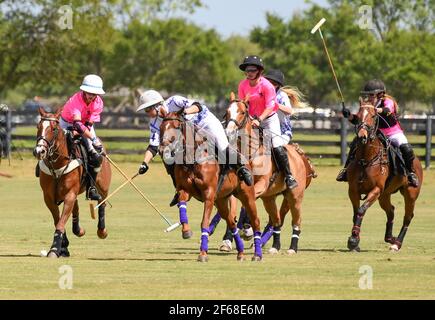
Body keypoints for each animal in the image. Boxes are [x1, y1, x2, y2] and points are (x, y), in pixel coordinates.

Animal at [34, 107, 112, 258]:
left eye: (54, 128)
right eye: (38, 126)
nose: (39, 151)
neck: (58, 163)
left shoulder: (69, 194)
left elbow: (61, 222)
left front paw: (54, 249)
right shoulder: (48, 197)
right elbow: (58, 220)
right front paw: (63, 247)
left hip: (103, 186)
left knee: (102, 203)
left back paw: (102, 231)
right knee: (76, 208)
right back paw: (78, 231)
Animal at [159, 109, 262, 262]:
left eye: (176, 127)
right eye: (161, 127)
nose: (162, 150)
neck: (192, 159)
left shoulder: (208, 194)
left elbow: (205, 223)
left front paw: (202, 253)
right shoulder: (184, 190)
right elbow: (182, 205)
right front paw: (186, 231)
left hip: (246, 195)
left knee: (256, 221)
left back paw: (257, 255)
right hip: (221, 200)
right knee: (231, 222)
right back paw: (241, 253)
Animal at [225, 91, 316, 254]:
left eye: (242, 112)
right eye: (227, 111)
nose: (229, 132)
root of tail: (300, 156)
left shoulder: (261, 184)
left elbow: (248, 201)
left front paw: (247, 230)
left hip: (295, 196)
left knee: (296, 221)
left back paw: (292, 248)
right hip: (269, 198)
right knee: (277, 220)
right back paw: (275, 246)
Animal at [346, 103, 424, 252]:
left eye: (373, 116)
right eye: (357, 116)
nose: (362, 136)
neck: (365, 159)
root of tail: (417, 161)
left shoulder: (376, 189)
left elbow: (361, 210)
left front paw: (353, 240)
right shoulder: (353, 190)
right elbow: (355, 213)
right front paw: (355, 240)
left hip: (411, 193)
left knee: (408, 216)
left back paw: (396, 243)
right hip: (384, 195)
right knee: (391, 211)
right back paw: (390, 238)